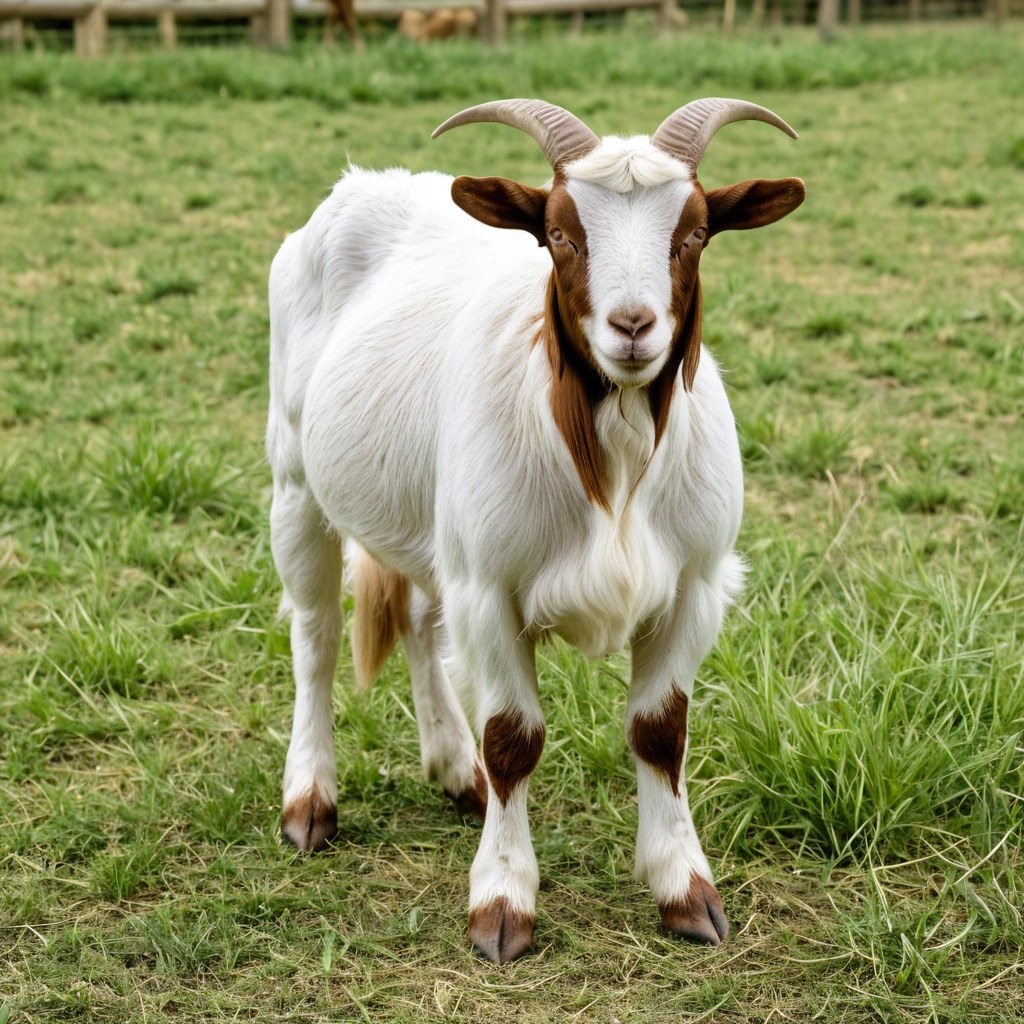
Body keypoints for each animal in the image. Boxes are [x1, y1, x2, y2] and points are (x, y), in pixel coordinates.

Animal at [267, 98, 805, 964]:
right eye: (559, 233)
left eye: (693, 233)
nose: (632, 325)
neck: (610, 457)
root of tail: (363, 183)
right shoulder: (490, 588)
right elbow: (515, 739)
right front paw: (502, 904)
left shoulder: (694, 584)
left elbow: (660, 732)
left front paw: (685, 890)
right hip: (296, 479)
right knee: (314, 635)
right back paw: (310, 802)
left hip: (433, 524)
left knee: (419, 618)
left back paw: (456, 771)